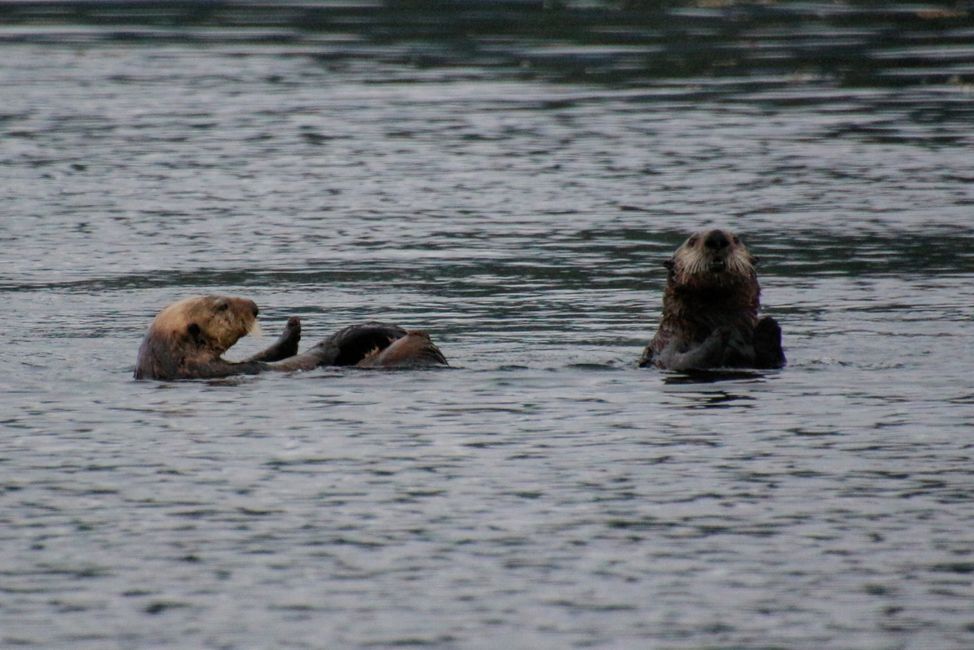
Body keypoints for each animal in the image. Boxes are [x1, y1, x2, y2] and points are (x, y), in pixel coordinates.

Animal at [644, 228, 788, 370]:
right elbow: (681, 361)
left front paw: (768, 324)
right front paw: (722, 330)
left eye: (736, 239)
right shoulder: (667, 344)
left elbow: (775, 360)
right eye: (692, 241)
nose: (717, 238)